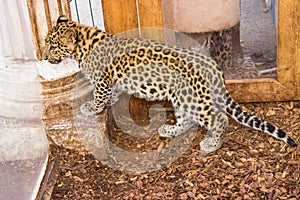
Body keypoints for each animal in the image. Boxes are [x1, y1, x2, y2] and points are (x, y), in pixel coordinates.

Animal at [42, 15, 298, 152]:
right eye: (46, 43)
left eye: (52, 47)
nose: (43, 57)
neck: (82, 43)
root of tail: (211, 65)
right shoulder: (111, 81)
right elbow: (111, 93)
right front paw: (108, 102)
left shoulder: (102, 80)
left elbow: (99, 96)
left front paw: (91, 108)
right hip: (183, 98)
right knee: (187, 119)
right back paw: (169, 130)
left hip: (193, 100)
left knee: (219, 118)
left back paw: (211, 144)